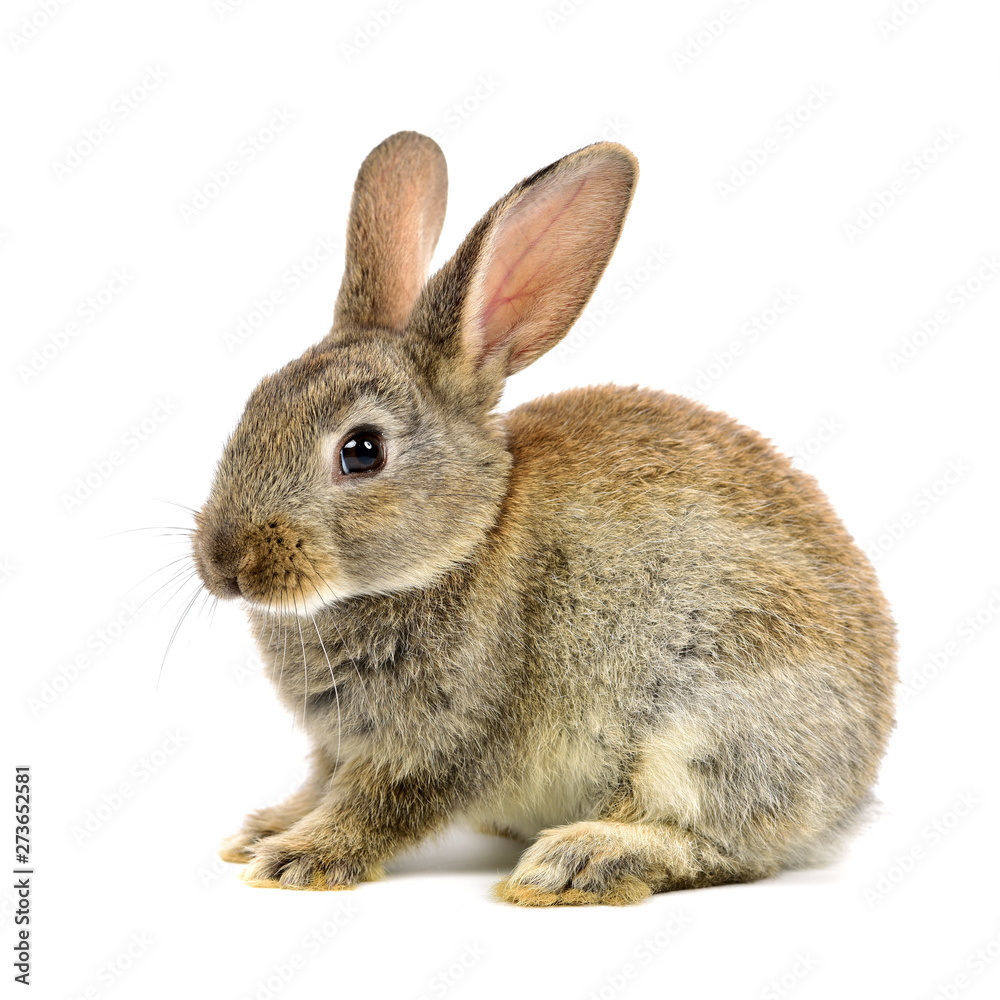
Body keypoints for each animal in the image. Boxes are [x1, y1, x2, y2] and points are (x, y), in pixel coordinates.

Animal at [192, 130, 897, 906]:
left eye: (362, 450)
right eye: (254, 404)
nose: (223, 563)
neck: (464, 541)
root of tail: (850, 788)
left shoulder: (445, 736)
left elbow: (379, 804)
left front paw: (297, 859)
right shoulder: (338, 746)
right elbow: (321, 783)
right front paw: (262, 831)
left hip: (712, 723)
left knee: (716, 841)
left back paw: (581, 860)